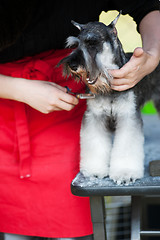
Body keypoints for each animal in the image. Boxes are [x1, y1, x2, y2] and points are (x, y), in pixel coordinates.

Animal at [58, 13, 160, 185]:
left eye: (92, 43)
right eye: (76, 45)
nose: (72, 65)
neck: (108, 87)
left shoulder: (128, 117)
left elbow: (126, 146)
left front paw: (125, 174)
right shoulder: (95, 117)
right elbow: (95, 144)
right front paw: (94, 170)